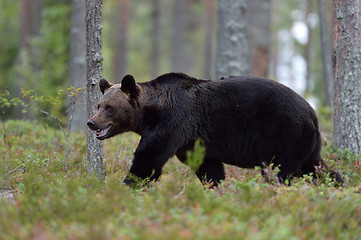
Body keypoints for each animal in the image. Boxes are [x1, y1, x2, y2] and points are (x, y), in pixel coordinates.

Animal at [87, 72, 344, 187]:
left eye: (109, 108)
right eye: (98, 105)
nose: (91, 122)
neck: (152, 112)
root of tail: (312, 111)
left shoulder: (175, 121)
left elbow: (148, 159)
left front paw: (126, 187)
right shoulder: (193, 142)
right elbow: (209, 169)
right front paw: (216, 188)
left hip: (284, 134)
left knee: (282, 171)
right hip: (307, 142)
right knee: (315, 166)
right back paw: (338, 185)